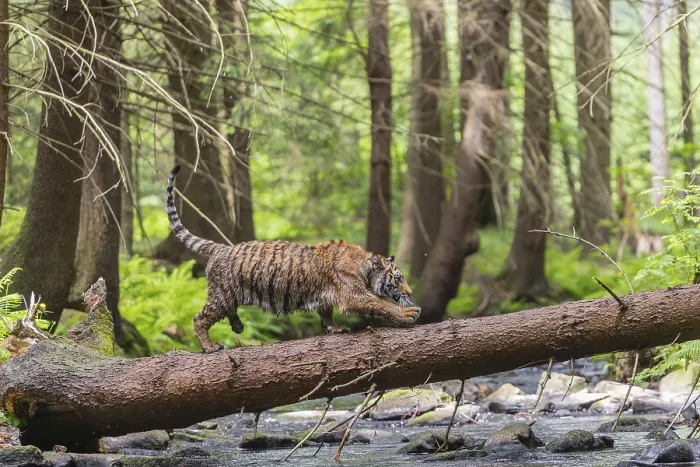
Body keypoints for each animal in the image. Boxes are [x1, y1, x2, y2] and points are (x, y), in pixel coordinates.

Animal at [165, 164, 420, 353]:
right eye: (398, 279)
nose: (410, 293)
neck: (364, 265)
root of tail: (220, 248)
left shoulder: (326, 299)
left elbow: (327, 315)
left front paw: (336, 330)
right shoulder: (353, 295)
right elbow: (380, 303)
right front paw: (407, 313)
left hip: (226, 295)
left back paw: (237, 326)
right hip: (222, 295)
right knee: (199, 318)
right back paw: (209, 347)